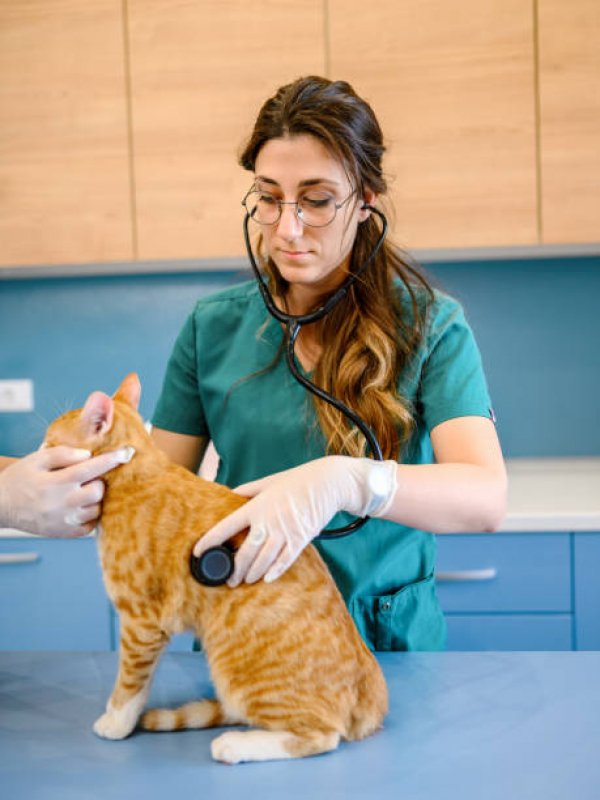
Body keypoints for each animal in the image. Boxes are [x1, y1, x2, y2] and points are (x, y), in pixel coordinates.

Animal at [44, 376, 386, 764]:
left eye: (51, 442)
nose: (39, 448)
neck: (139, 472)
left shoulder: (140, 622)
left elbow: (130, 682)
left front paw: (116, 722)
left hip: (238, 671)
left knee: (321, 736)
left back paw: (236, 744)